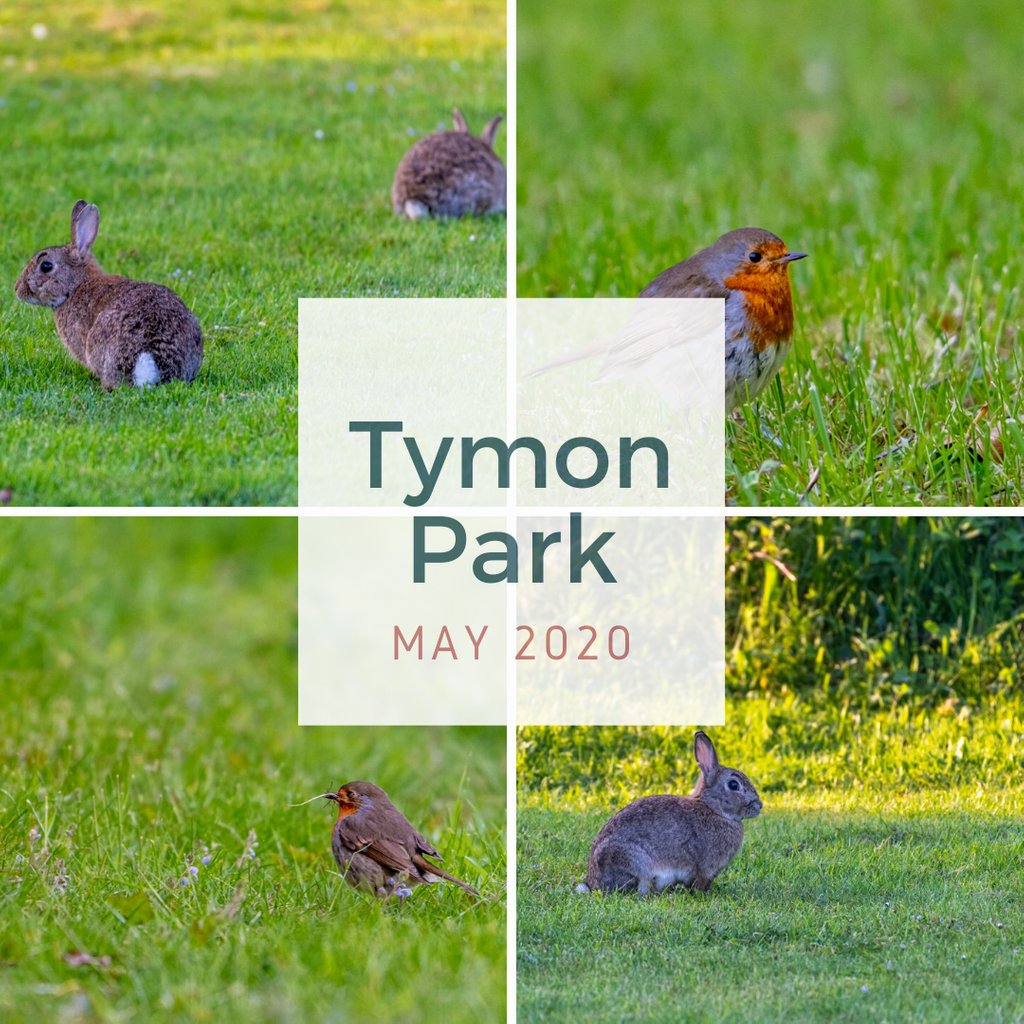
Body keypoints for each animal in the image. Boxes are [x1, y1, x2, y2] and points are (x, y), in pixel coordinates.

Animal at [577, 729, 761, 897]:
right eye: (733, 785)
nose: (759, 806)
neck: (712, 808)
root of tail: (594, 883)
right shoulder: (704, 869)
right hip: (631, 860)